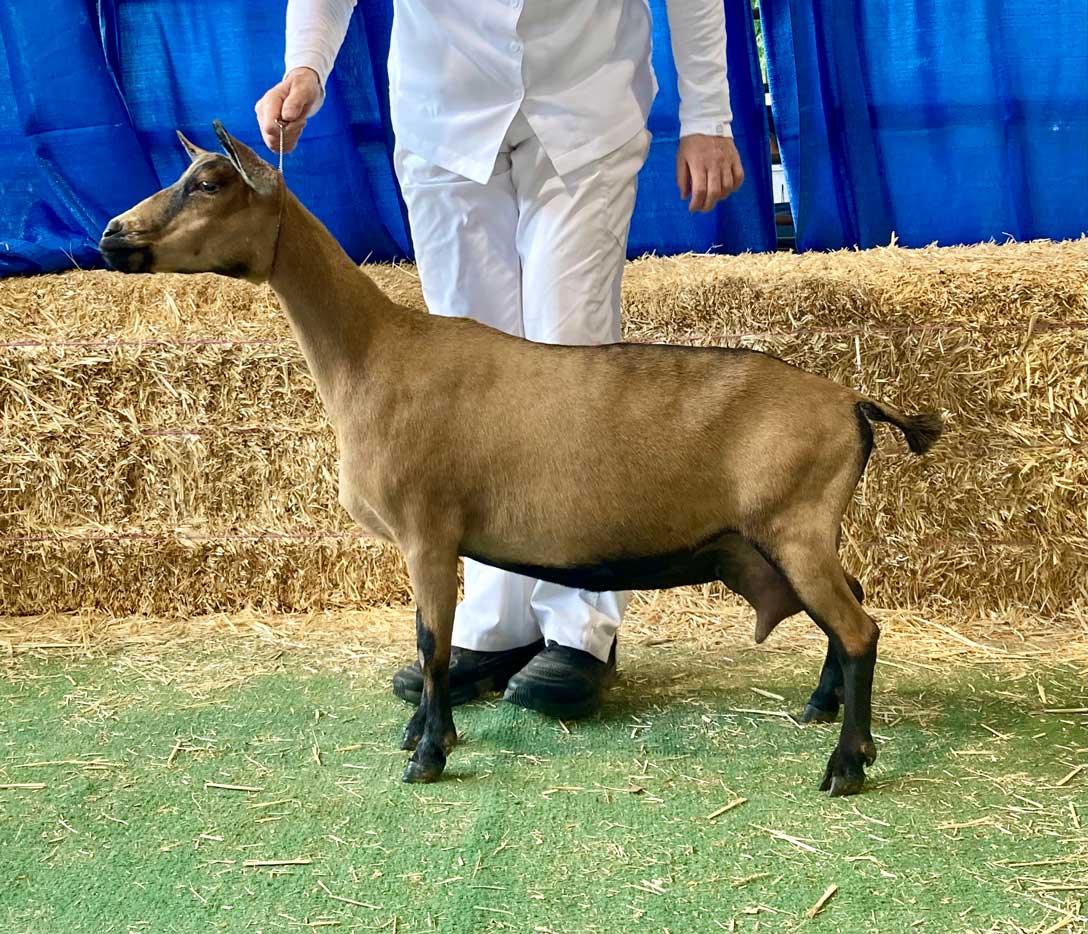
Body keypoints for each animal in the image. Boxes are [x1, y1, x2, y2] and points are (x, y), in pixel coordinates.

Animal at [102, 121, 944, 792]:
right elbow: (431, 642)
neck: (375, 353)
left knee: (859, 629)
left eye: (209, 183)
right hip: (788, 539)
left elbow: (432, 642)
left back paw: (846, 764)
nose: (113, 234)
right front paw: (424, 734)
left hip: (794, 526)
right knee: (850, 606)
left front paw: (428, 754)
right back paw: (820, 708)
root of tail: (852, 402)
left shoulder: (428, 529)